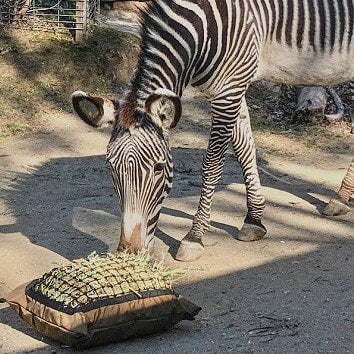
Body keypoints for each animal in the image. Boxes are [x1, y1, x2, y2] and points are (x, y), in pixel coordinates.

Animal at [70, 0, 352, 262]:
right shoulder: (229, 90)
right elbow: (244, 149)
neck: (202, 28)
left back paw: (340, 198)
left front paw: (194, 237)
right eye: (110, 166)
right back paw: (340, 198)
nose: (129, 252)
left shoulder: (228, 91)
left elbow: (213, 164)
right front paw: (254, 220)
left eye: (159, 168)